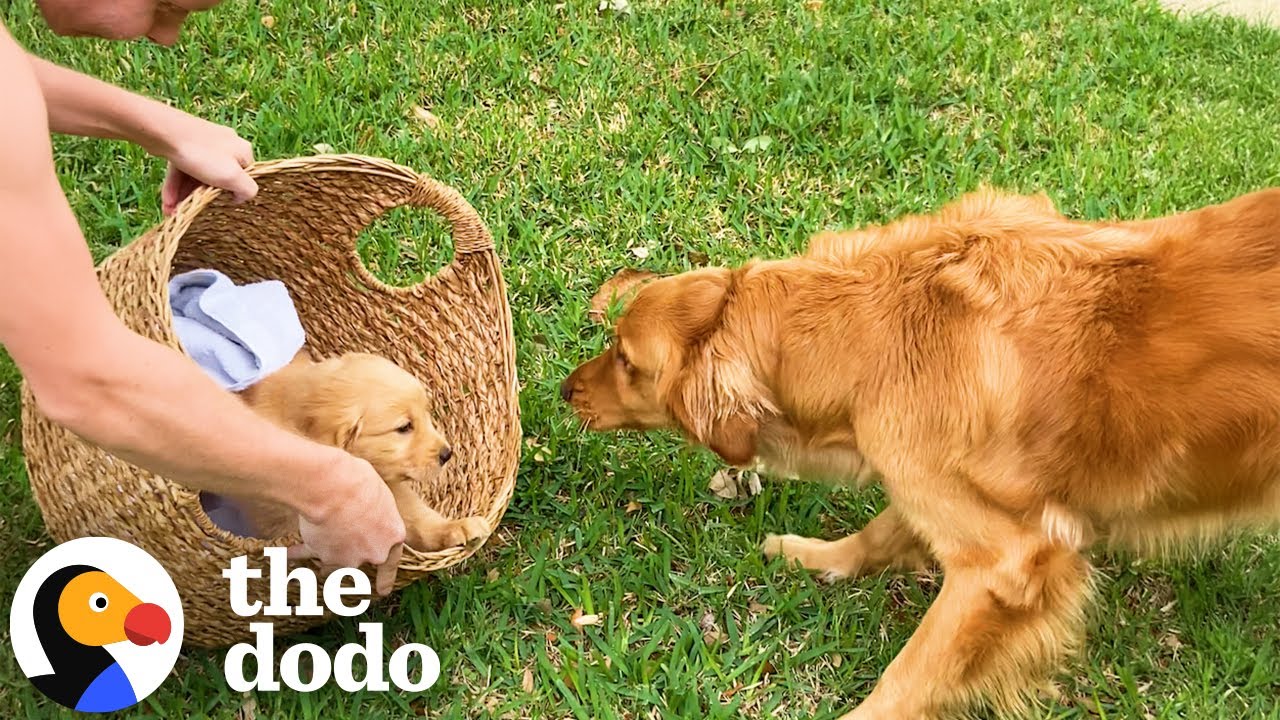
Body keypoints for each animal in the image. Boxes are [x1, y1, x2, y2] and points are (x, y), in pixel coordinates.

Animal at [565, 185, 1280, 717]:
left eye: (626, 360)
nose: (568, 390)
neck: (872, 329)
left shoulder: (1008, 562)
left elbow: (911, 675)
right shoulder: (928, 481)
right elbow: (881, 532)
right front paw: (817, 557)